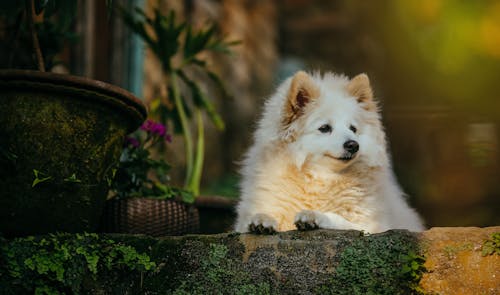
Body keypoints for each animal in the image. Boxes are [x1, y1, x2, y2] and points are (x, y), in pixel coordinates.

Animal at [236, 71, 424, 234]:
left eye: (353, 129)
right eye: (325, 128)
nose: (353, 145)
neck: (321, 178)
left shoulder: (371, 226)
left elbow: (340, 220)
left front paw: (314, 215)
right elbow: (254, 220)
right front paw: (261, 220)